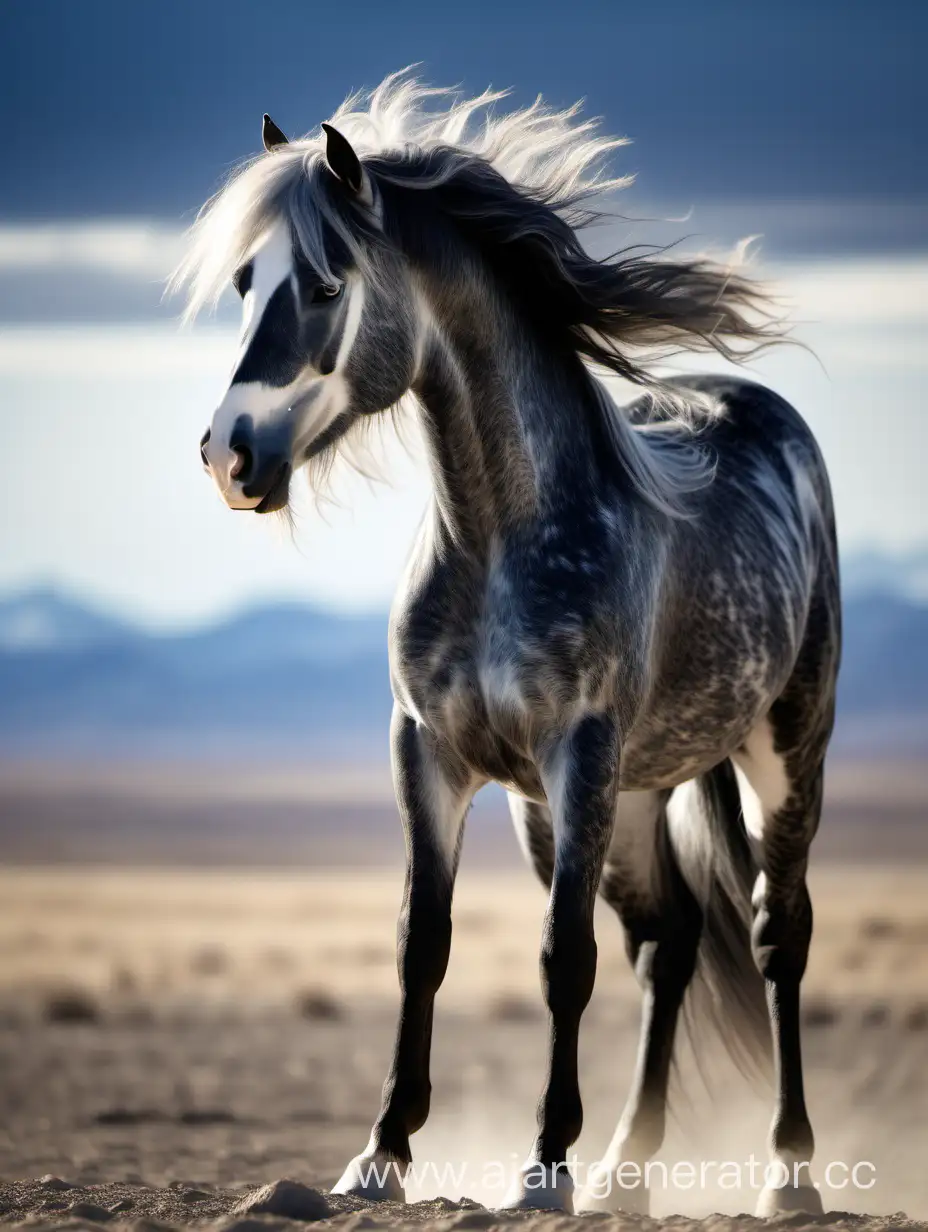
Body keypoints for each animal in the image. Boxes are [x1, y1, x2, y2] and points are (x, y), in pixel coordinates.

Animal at [172, 72, 838, 1217]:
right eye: (248, 282)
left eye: (326, 283)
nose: (231, 455)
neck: (499, 537)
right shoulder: (429, 753)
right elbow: (420, 943)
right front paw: (381, 1154)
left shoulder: (578, 757)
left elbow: (561, 957)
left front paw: (543, 1168)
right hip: (626, 798)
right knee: (666, 945)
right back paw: (626, 1171)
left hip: (779, 757)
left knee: (773, 935)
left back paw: (786, 1175)